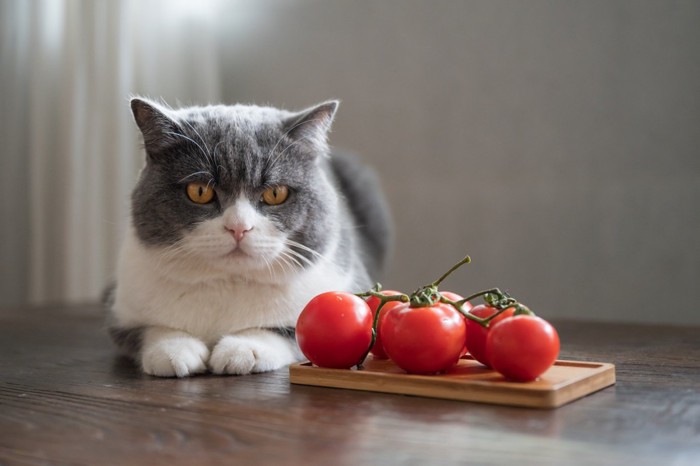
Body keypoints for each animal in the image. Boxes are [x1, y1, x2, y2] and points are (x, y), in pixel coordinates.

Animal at [106, 98, 392, 378]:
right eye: (199, 191)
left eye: (276, 193)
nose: (238, 228)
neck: (228, 284)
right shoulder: (122, 312)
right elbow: (146, 330)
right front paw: (174, 350)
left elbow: (288, 331)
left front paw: (242, 349)